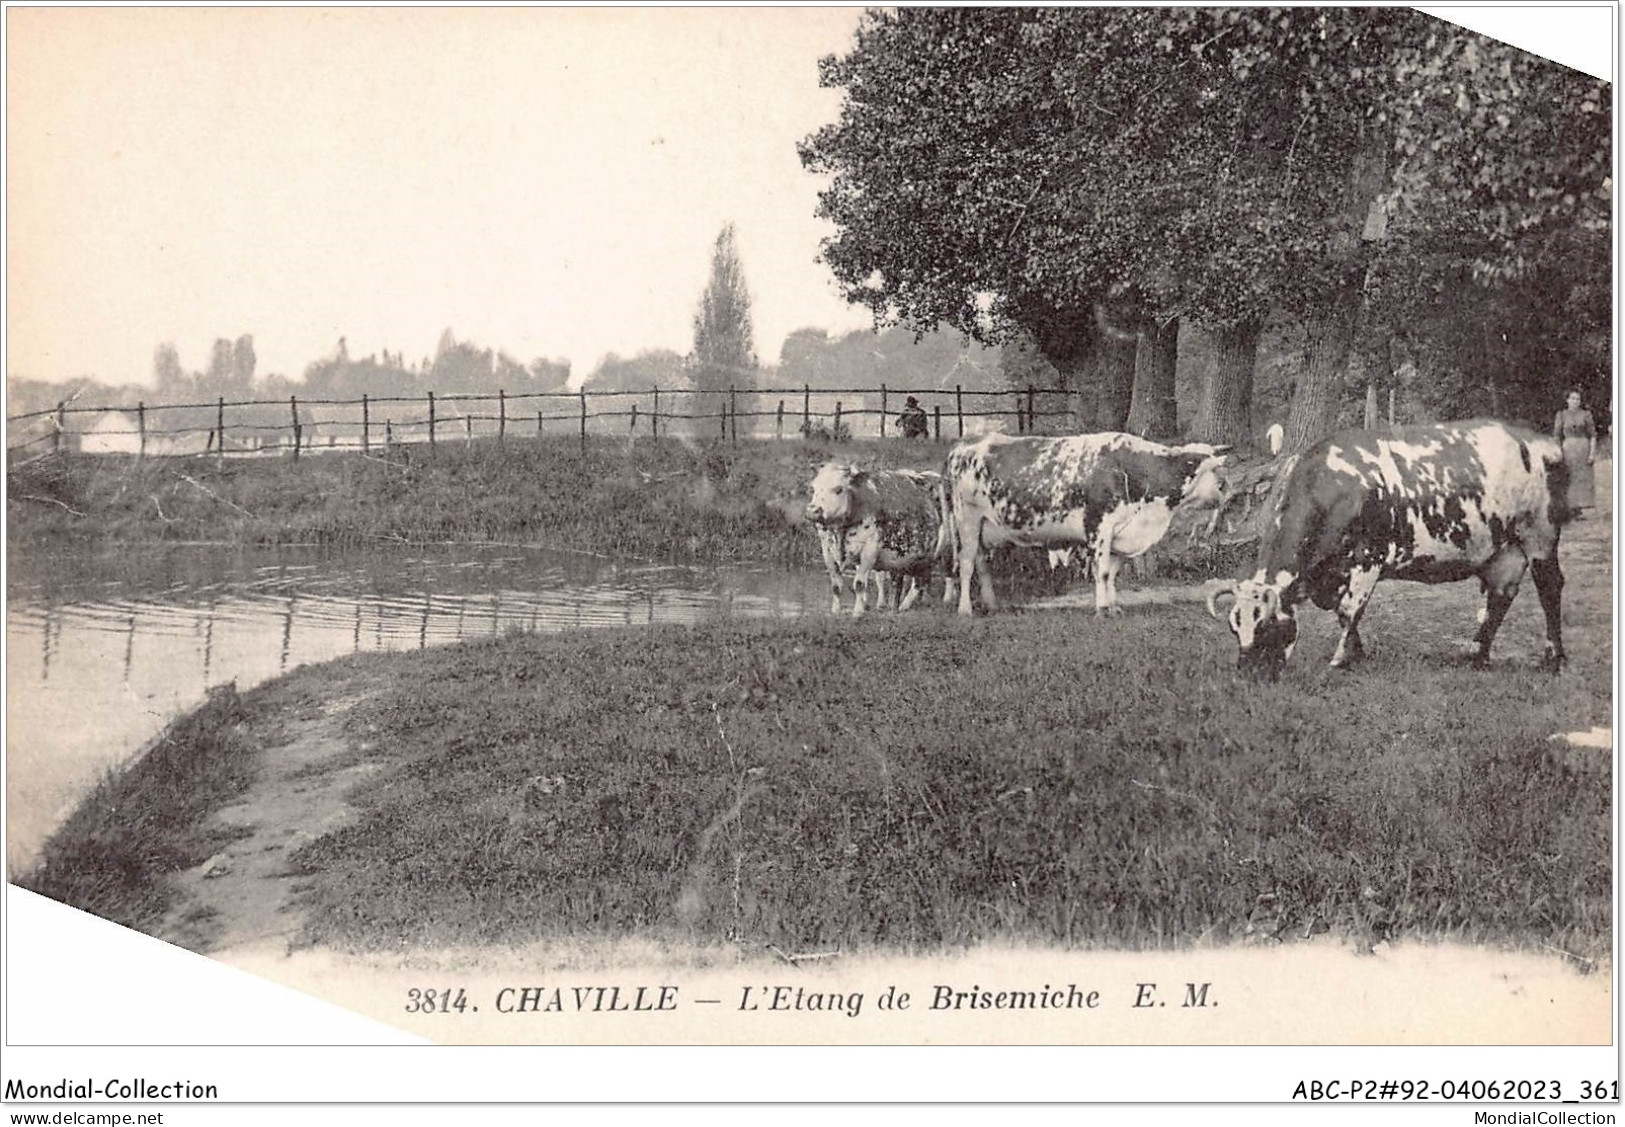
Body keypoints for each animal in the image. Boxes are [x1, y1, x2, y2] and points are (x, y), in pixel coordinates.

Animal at [802, 461, 949, 617]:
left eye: (839, 489)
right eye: (813, 488)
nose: (812, 511)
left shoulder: (869, 549)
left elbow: (859, 584)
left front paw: (858, 612)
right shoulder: (827, 550)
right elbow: (836, 586)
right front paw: (836, 611)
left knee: (926, 579)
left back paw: (910, 605)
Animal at [942, 431, 1228, 617]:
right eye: (1210, 470)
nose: (1225, 488)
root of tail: (964, 444)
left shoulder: (1119, 534)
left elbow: (1112, 572)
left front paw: (1113, 607)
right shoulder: (1099, 527)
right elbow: (1101, 572)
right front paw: (1101, 609)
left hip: (983, 526)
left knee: (981, 563)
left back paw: (991, 605)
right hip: (966, 518)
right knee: (966, 564)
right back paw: (965, 610)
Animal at [1209, 415, 1573, 675]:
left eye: (1267, 626)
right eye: (1234, 628)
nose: (1247, 674)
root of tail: (1541, 441)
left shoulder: (1368, 559)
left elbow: (1349, 610)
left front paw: (1341, 660)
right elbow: (1343, 615)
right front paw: (1356, 654)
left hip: (1539, 535)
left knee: (1550, 587)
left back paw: (1553, 659)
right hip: (1502, 549)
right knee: (1500, 596)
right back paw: (1477, 655)